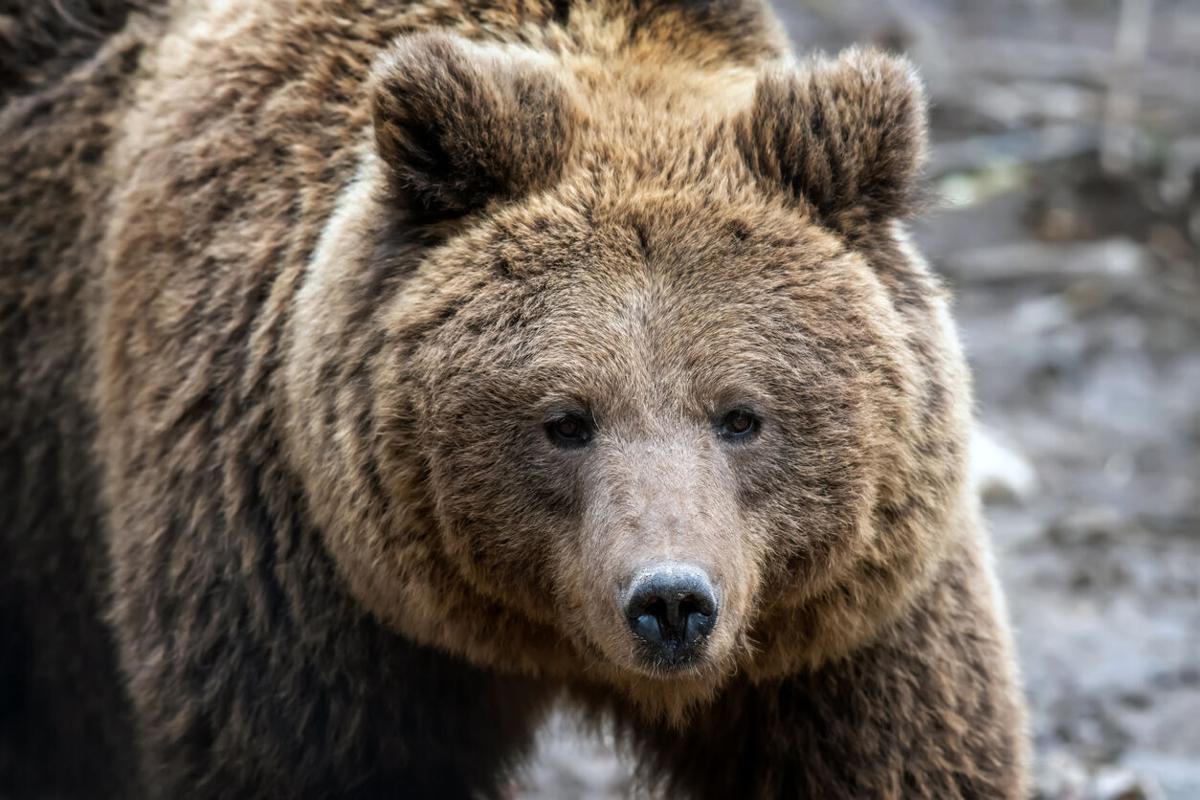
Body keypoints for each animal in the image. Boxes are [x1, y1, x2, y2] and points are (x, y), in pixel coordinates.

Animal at [0, 0, 1030, 797]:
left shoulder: (838, 626)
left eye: (743, 415)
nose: (670, 602)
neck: (535, 642)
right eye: (565, 420)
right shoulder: (291, 571)